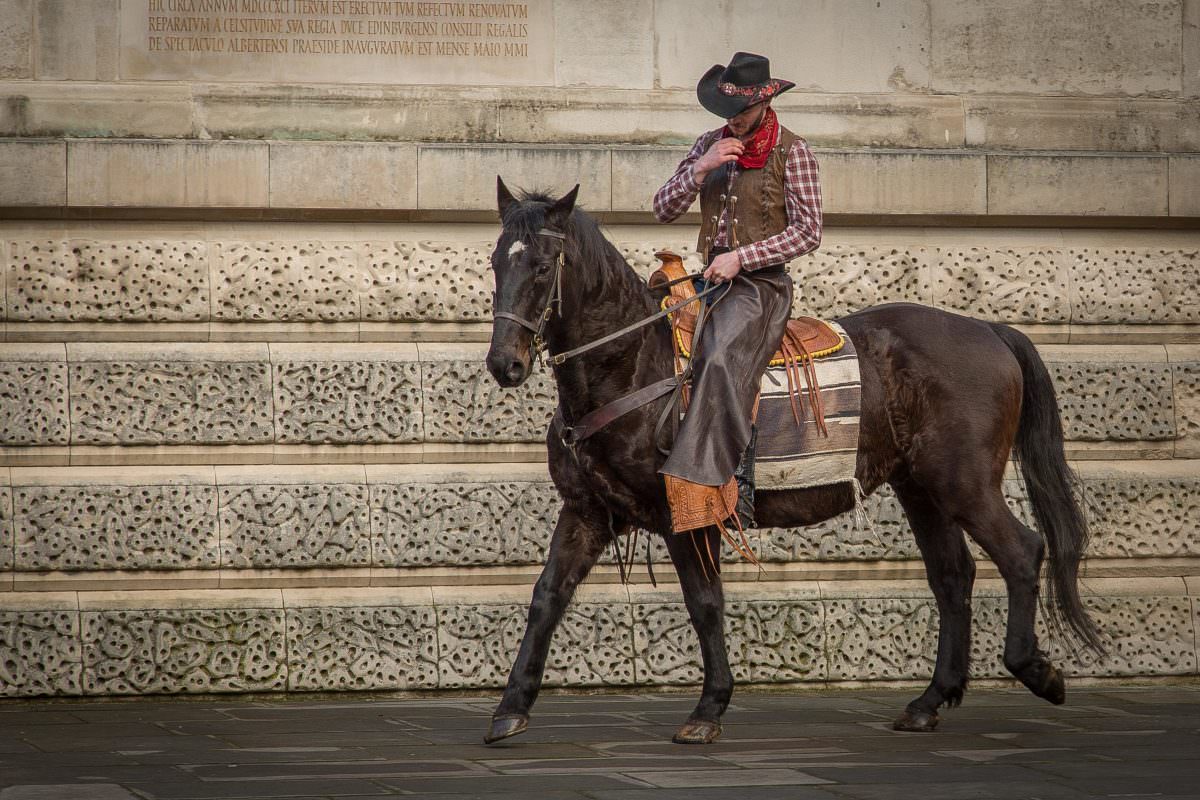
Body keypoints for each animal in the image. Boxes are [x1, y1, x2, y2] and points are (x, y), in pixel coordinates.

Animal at [482, 178, 1099, 748]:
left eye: (542, 266)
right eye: (495, 261)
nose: (503, 364)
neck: (632, 365)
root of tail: (989, 329)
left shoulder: (688, 513)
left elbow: (704, 603)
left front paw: (709, 707)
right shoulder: (586, 511)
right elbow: (547, 596)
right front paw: (511, 707)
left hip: (963, 483)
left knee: (1021, 551)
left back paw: (1036, 670)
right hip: (921, 489)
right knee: (952, 577)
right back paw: (929, 701)